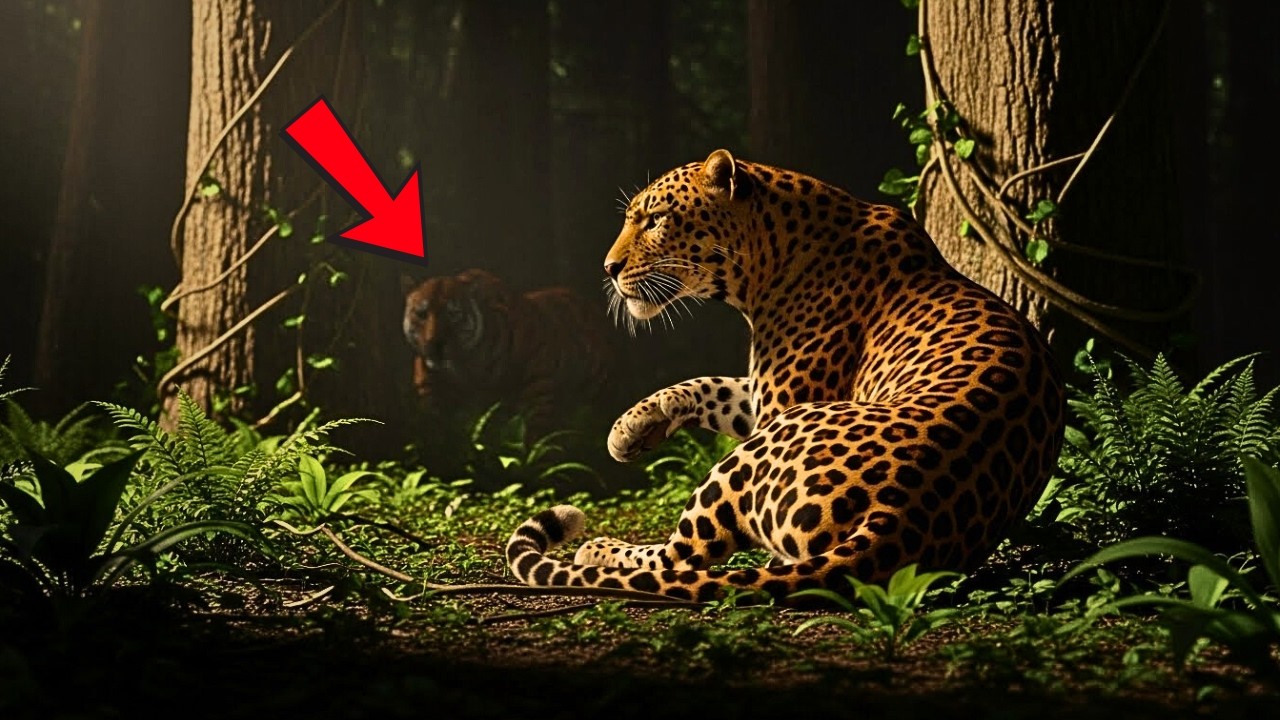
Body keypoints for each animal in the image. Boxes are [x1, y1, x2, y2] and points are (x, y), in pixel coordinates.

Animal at [505, 149, 1066, 604]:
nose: (608, 268)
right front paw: (631, 428)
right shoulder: (760, 394)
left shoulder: (783, 400)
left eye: (657, 219)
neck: (765, 264)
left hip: (762, 448)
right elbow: (707, 385)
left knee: (678, 561)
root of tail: (899, 519)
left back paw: (600, 549)